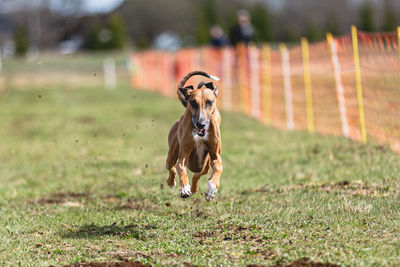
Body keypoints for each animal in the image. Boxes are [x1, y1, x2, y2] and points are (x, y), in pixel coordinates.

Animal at [165, 71, 223, 201]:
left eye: (209, 102)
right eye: (193, 103)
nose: (200, 124)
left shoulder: (215, 155)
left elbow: (218, 167)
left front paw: (212, 189)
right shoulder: (183, 155)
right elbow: (181, 168)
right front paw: (184, 189)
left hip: (205, 164)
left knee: (199, 173)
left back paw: (194, 188)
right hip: (172, 153)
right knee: (171, 166)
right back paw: (172, 182)